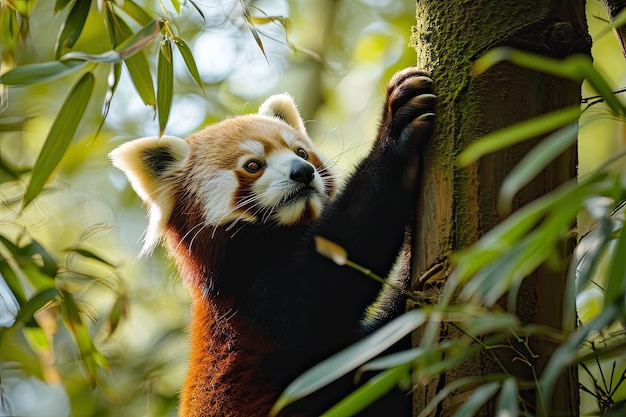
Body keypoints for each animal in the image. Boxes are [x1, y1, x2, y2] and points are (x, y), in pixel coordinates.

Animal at [109, 66, 434, 414]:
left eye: (301, 152)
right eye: (253, 165)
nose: (303, 172)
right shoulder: (257, 311)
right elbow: (327, 281)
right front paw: (395, 131)